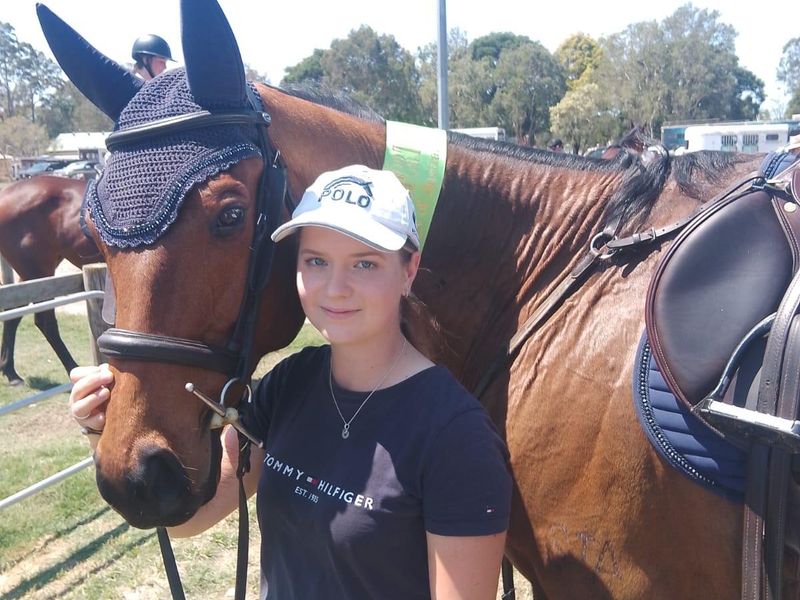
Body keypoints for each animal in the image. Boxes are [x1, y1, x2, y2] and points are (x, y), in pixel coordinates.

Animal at [0, 176, 102, 385]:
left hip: (34, 275)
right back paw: (75, 370)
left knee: (14, 312)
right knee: (45, 323)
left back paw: (10, 371)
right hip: (39, 271)